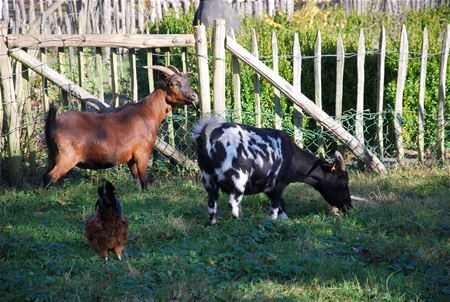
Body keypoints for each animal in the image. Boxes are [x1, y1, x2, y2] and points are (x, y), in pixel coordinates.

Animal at [44, 66, 199, 189]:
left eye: (187, 81)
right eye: (174, 83)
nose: (194, 96)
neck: (147, 113)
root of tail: (54, 122)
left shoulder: (130, 158)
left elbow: (137, 180)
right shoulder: (142, 153)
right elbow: (144, 179)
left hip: (52, 155)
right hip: (66, 157)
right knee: (50, 177)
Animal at [192, 117, 354, 225]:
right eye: (343, 182)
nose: (349, 206)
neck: (291, 154)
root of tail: (207, 132)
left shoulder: (268, 186)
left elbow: (281, 204)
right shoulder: (278, 184)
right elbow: (276, 206)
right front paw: (275, 222)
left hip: (208, 179)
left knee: (212, 203)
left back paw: (214, 223)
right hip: (238, 179)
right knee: (234, 204)